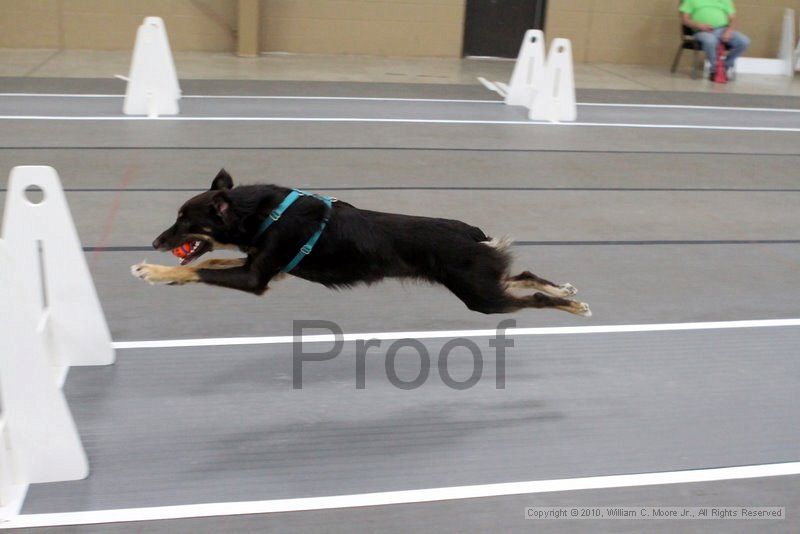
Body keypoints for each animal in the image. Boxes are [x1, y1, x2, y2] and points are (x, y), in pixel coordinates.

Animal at [131, 170, 592, 316]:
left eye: (184, 221)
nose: (155, 241)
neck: (265, 213)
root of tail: (473, 234)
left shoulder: (257, 278)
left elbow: (197, 270)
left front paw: (152, 271)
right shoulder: (267, 270)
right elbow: (201, 268)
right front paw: (161, 273)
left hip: (481, 297)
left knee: (530, 298)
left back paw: (568, 304)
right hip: (482, 281)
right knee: (521, 274)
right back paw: (565, 290)